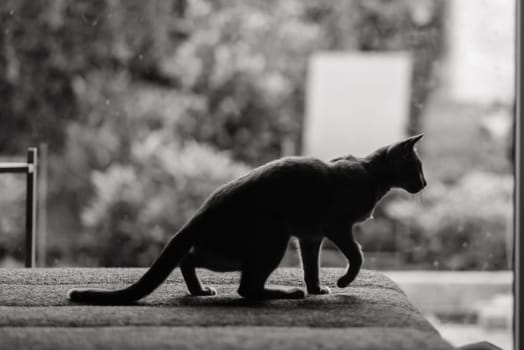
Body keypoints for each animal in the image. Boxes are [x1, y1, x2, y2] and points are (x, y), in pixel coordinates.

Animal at [67, 134, 426, 304]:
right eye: (419, 168)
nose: (425, 184)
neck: (371, 174)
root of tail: (201, 210)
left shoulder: (309, 237)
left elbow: (311, 268)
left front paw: (318, 289)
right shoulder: (336, 227)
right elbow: (358, 256)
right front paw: (341, 283)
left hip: (236, 249)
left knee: (190, 259)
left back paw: (201, 291)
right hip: (274, 236)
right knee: (246, 289)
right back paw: (287, 294)